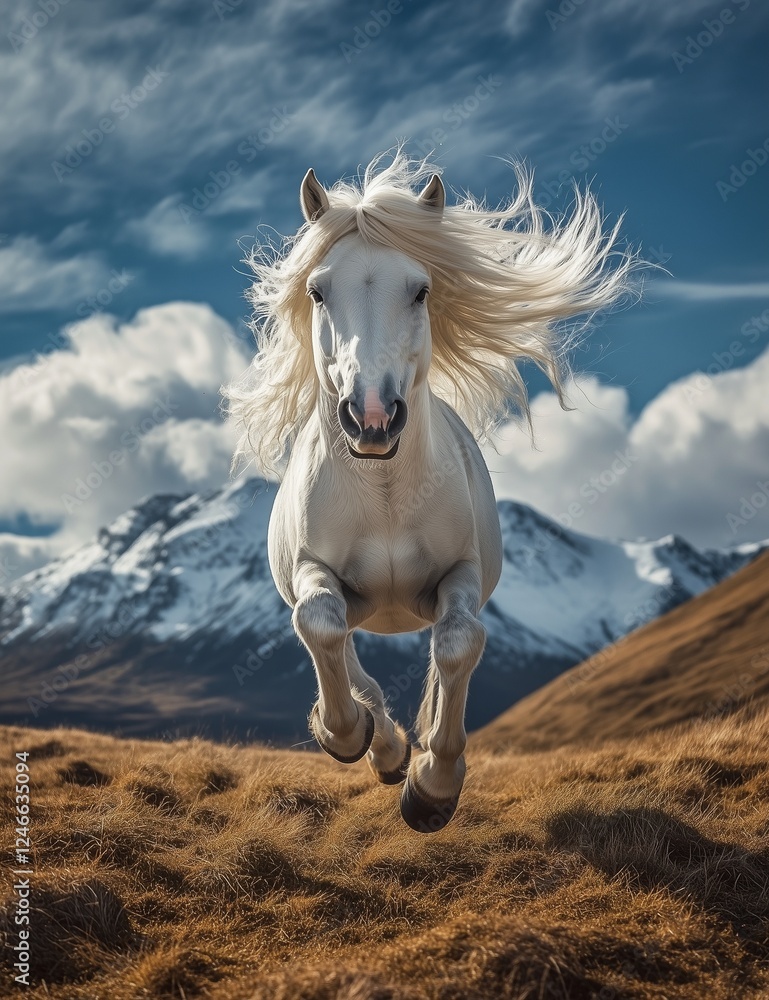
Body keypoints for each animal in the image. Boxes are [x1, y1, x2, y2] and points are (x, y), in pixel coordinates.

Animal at [225, 151, 632, 832]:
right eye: (317, 291)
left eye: (420, 290)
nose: (371, 416)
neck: (386, 493)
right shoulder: (314, 571)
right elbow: (320, 624)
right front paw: (349, 736)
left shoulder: (459, 575)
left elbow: (460, 645)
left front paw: (433, 786)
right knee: (346, 649)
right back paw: (382, 746)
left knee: (440, 655)